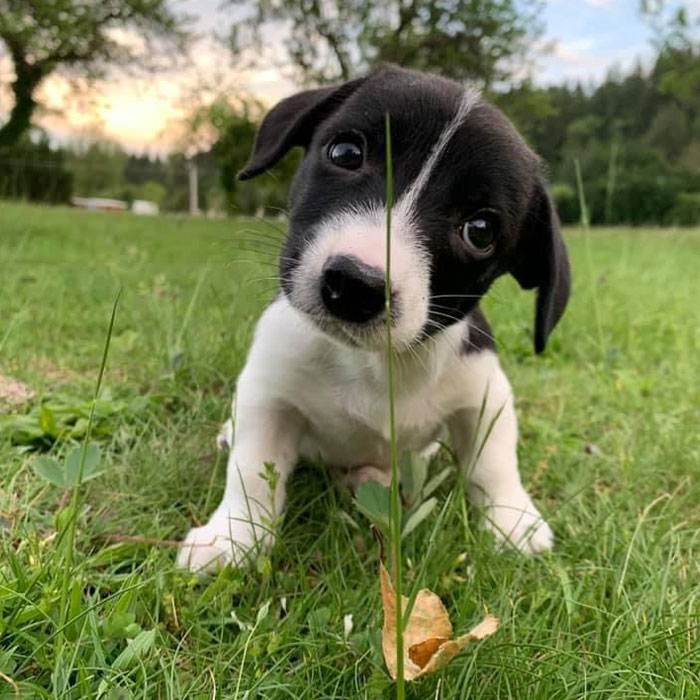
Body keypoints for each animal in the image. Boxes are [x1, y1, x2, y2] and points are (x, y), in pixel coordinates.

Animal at [178, 64, 572, 576]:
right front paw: (232, 537)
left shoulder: (485, 393)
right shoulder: (269, 392)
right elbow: (252, 469)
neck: (373, 363)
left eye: (481, 230)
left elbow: (494, 460)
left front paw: (513, 521)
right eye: (345, 153)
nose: (355, 286)